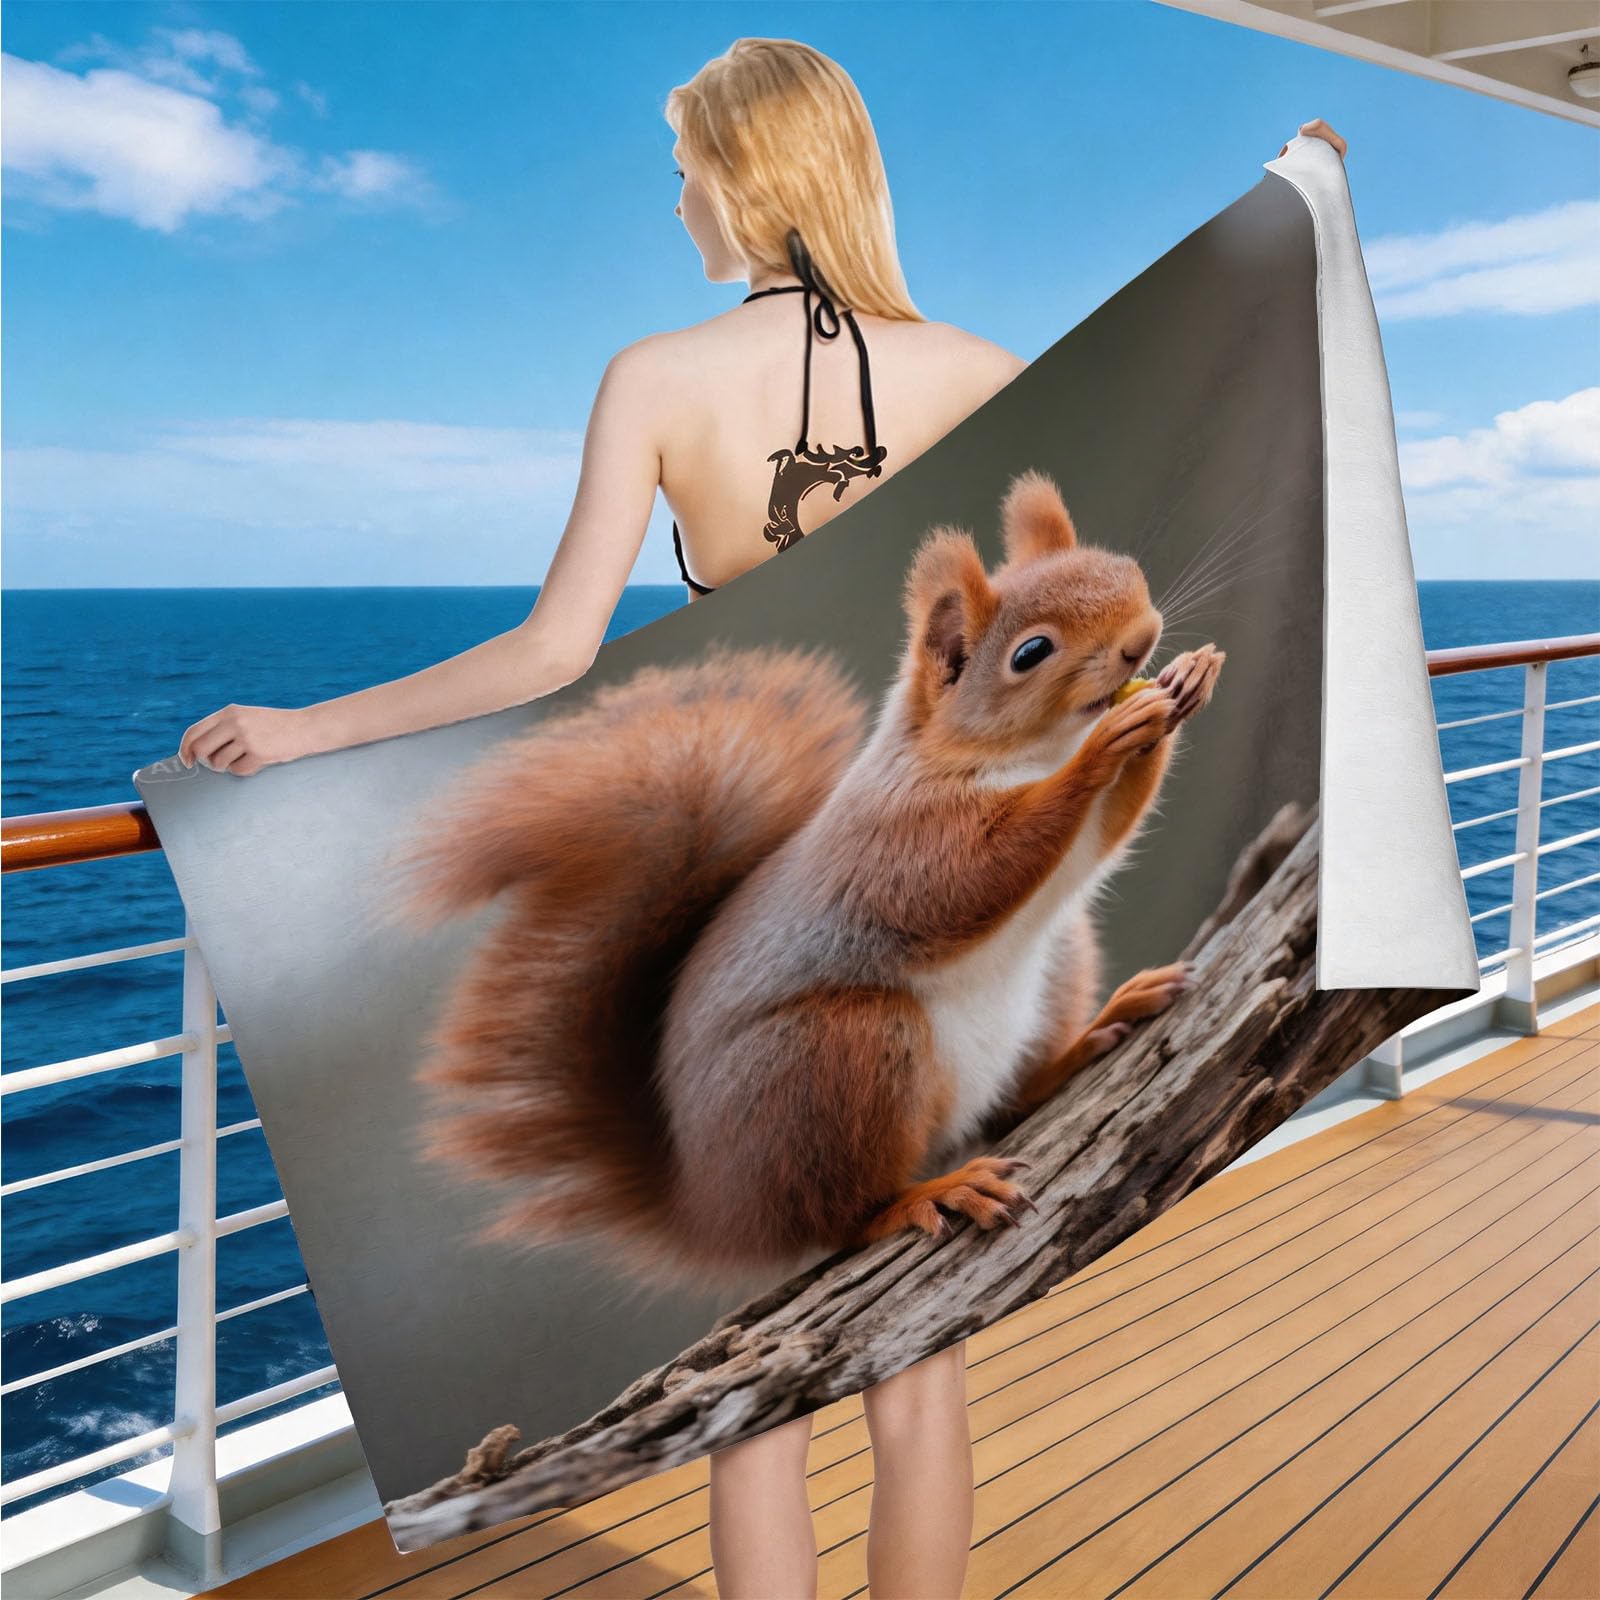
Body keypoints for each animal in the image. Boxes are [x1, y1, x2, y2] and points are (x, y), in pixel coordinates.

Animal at [392, 470, 1225, 1290]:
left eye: (1125, 570)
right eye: (1031, 653)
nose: (1142, 639)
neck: (1022, 754)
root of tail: (713, 1206)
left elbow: (1105, 831)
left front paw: (1186, 683)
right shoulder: (895, 839)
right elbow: (969, 877)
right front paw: (1107, 746)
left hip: (1052, 967)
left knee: (1008, 1101)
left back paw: (1092, 1035)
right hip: (842, 1055)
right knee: (842, 1217)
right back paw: (930, 1193)